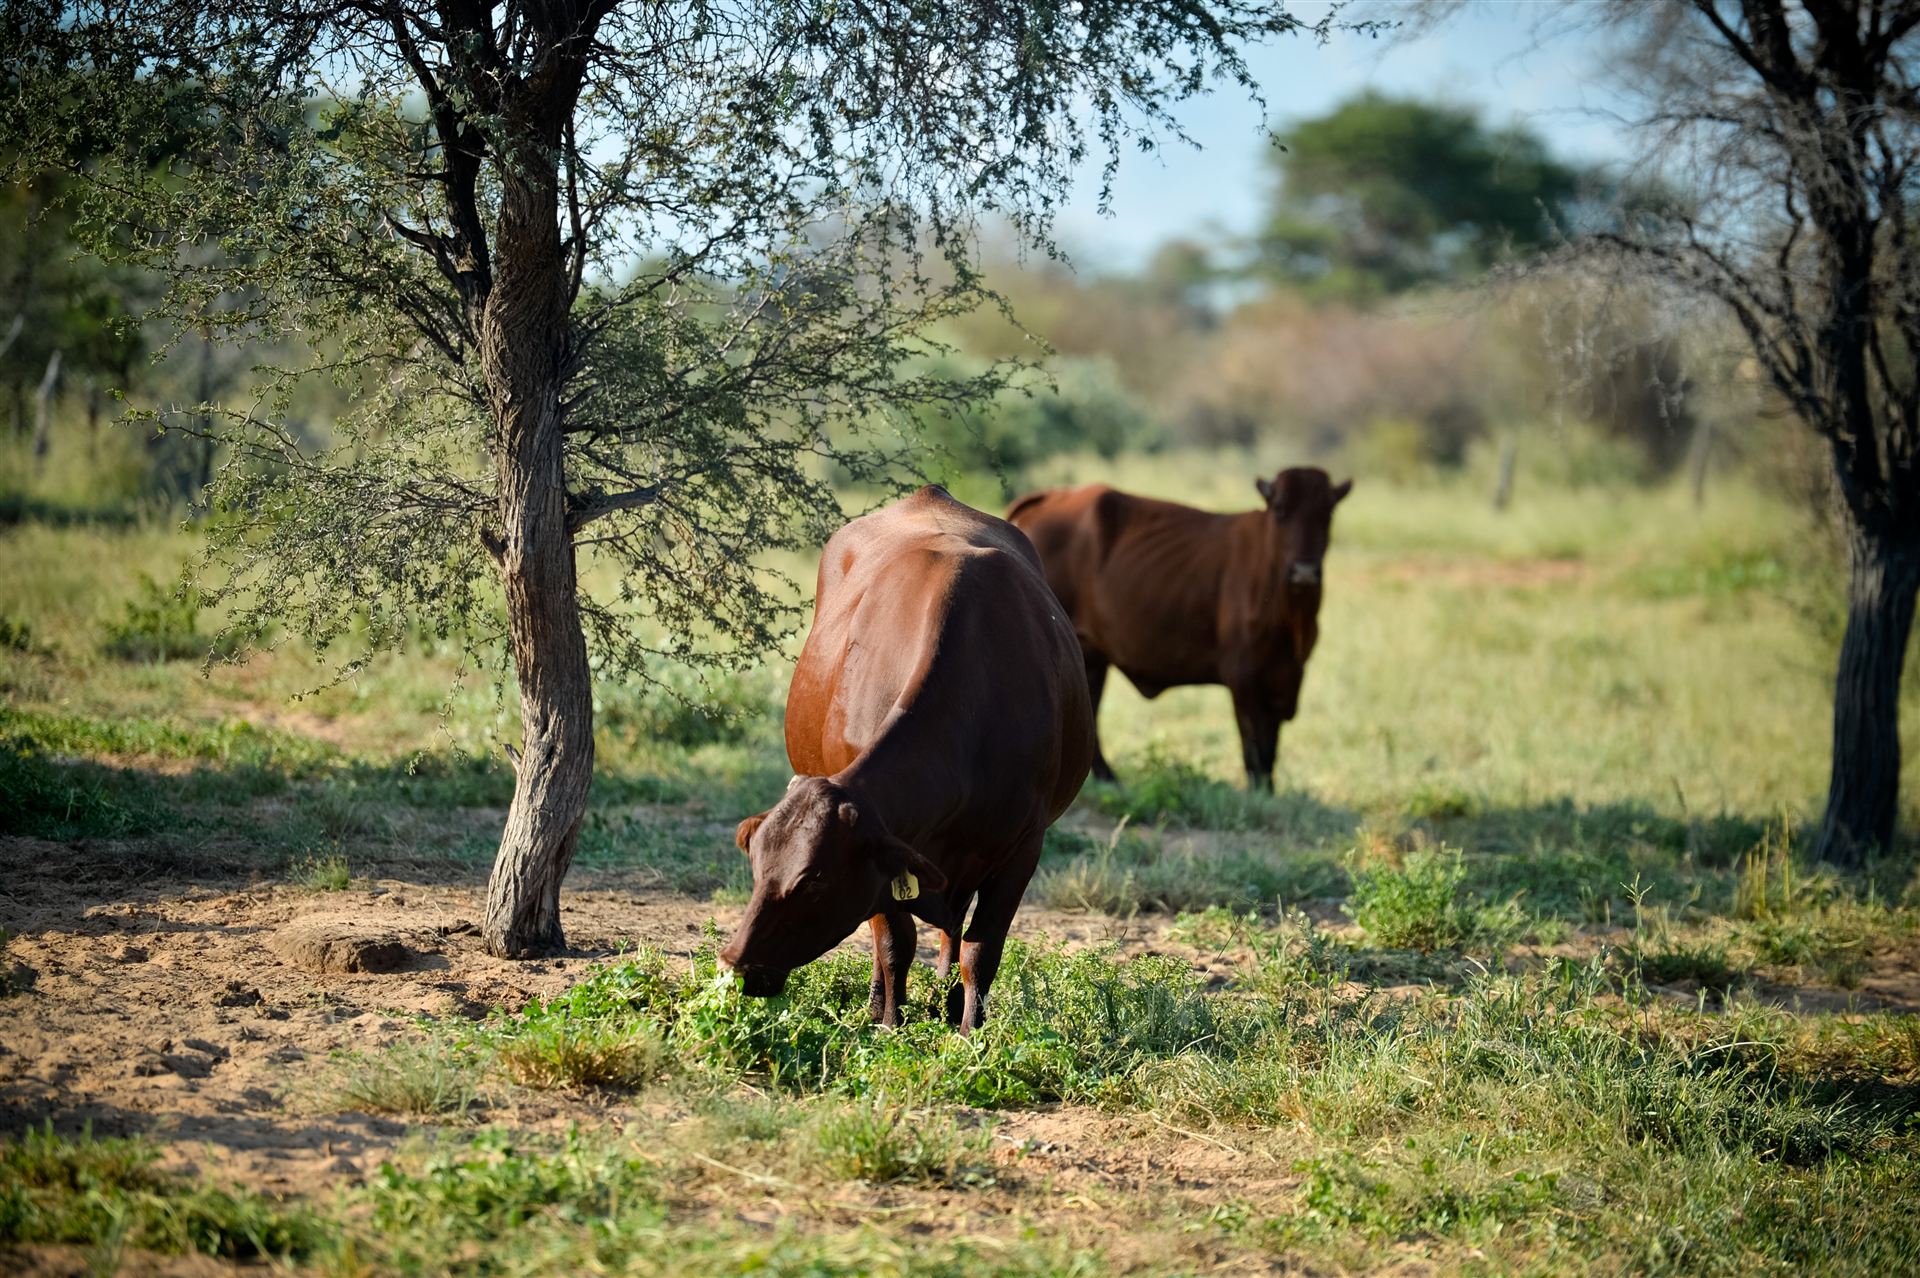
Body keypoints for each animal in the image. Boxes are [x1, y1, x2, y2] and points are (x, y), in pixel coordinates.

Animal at [718, 485, 1094, 1032]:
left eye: (814, 882)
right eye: (757, 867)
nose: (738, 965)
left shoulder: (1023, 848)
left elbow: (980, 951)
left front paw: (971, 1032)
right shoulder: (886, 856)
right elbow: (895, 943)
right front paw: (889, 1025)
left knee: (954, 934)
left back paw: (950, 1005)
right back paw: (881, 1004)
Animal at [1007, 467, 1349, 791]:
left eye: (1328, 513)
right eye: (1280, 509)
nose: (1304, 572)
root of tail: (1054, 496)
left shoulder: (1285, 677)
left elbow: (1270, 752)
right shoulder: (1244, 679)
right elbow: (1254, 749)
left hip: (1091, 658)